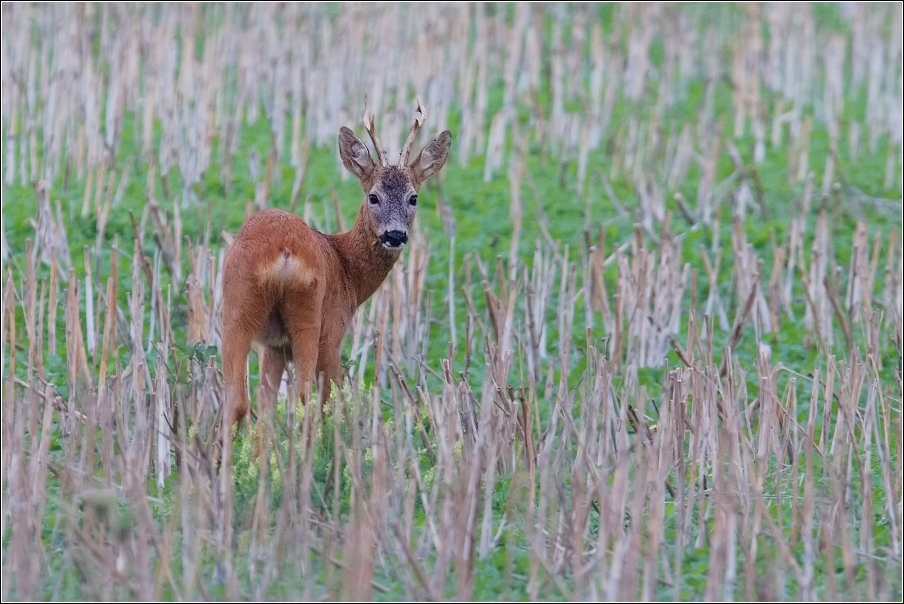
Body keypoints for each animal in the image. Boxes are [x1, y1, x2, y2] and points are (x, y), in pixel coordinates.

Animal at [220, 99, 452, 428]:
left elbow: (266, 408)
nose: (395, 235)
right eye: (373, 196)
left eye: (413, 198)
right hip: (310, 318)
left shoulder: (274, 345)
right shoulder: (335, 329)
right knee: (306, 397)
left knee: (237, 401)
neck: (347, 267)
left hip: (238, 307)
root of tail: (284, 252)